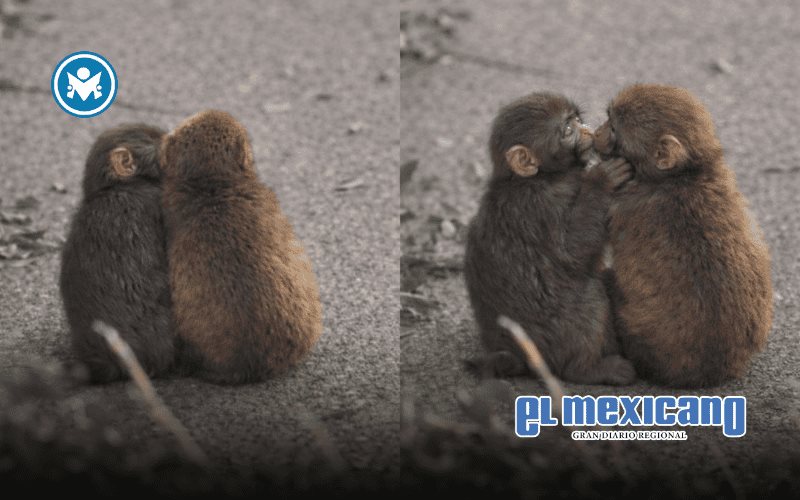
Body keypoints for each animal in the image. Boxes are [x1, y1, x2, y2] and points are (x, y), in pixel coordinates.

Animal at [463, 92, 637, 385]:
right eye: (567, 130)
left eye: (576, 119)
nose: (587, 130)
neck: (538, 177)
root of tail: (523, 359)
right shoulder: (544, 205)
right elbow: (572, 251)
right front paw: (601, 179)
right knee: (590, 299)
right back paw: (588, 369)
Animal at [594, 83, 773, 388]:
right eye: (608, 118)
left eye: (615, 130)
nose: (596, 135)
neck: (685, 175)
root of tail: (714, 372)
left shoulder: (624, 205)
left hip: (640, 344)